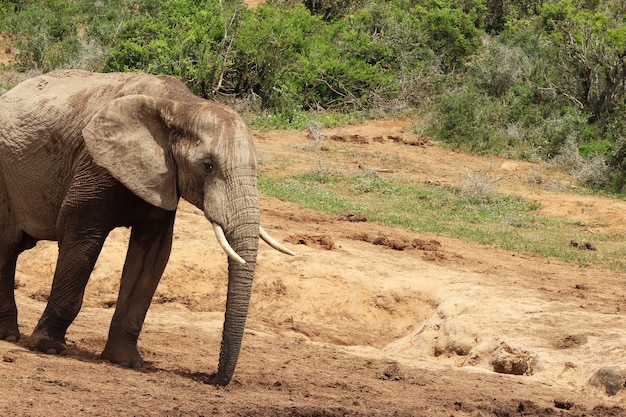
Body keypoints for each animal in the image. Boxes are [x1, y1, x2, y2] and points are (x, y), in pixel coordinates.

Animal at [0, 70, 294, 386]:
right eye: (207, 166)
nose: (211, 379)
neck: (181, 105)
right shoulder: (94, 162)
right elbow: (81, 236)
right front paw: (49, 347)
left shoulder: (164, 179)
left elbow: (152, 255)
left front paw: (126, 362)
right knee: (6, 245)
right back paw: (8, 336)